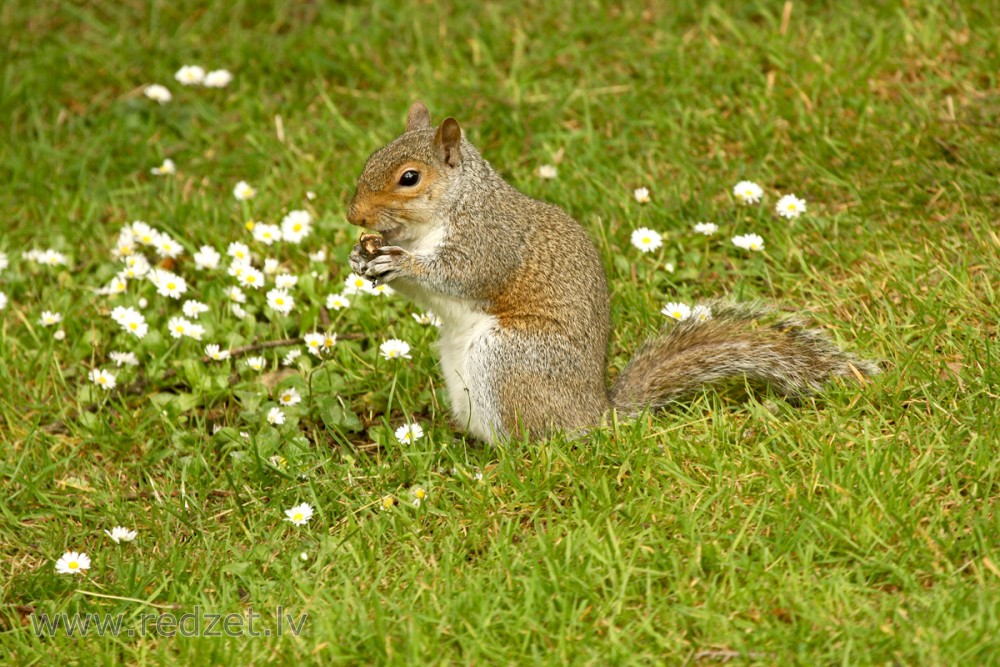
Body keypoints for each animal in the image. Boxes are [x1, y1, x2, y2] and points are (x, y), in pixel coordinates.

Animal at [348, 103, 880, 444]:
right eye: (370, 157)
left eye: (410, 178)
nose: (353, 215)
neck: (442, 214)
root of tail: (594, 413)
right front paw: (360, 258)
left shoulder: (489, 241)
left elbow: (459, 275)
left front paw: (398, 262)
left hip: (508, 359)